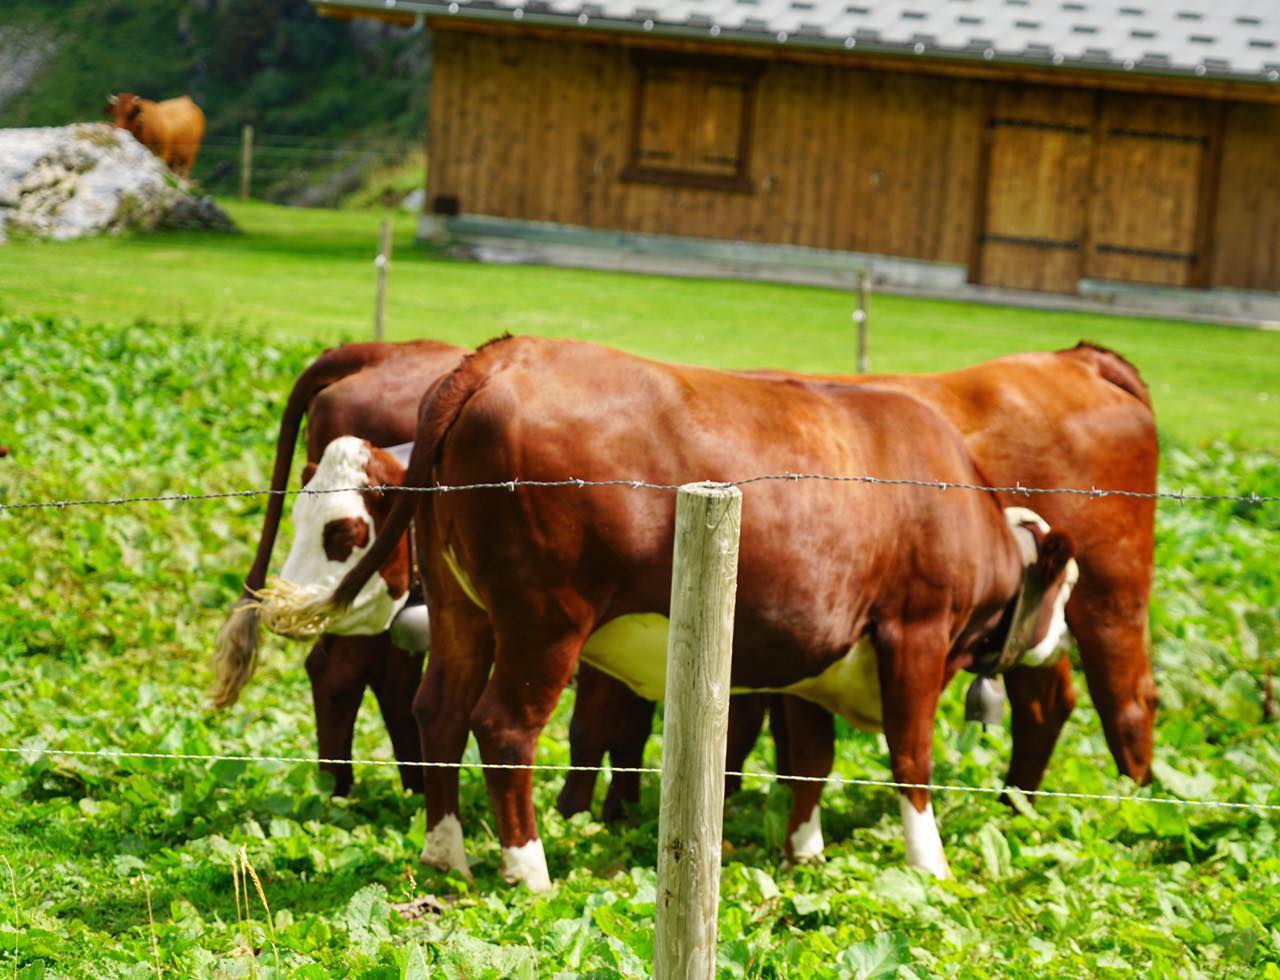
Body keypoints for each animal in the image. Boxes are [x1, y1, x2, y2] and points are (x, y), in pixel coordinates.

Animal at [296, 335, 1080, 890]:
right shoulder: (913, 632)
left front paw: (805, 853)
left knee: (441, 711)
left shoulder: (817, 654)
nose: (1059, 637)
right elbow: (911, 757)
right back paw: (530, 870)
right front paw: (929, 863)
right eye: (1067, 586)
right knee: (504, 727)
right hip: (545, 622)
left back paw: (445, 854)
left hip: (464, 610)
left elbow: (812, 762)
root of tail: (497, 357)